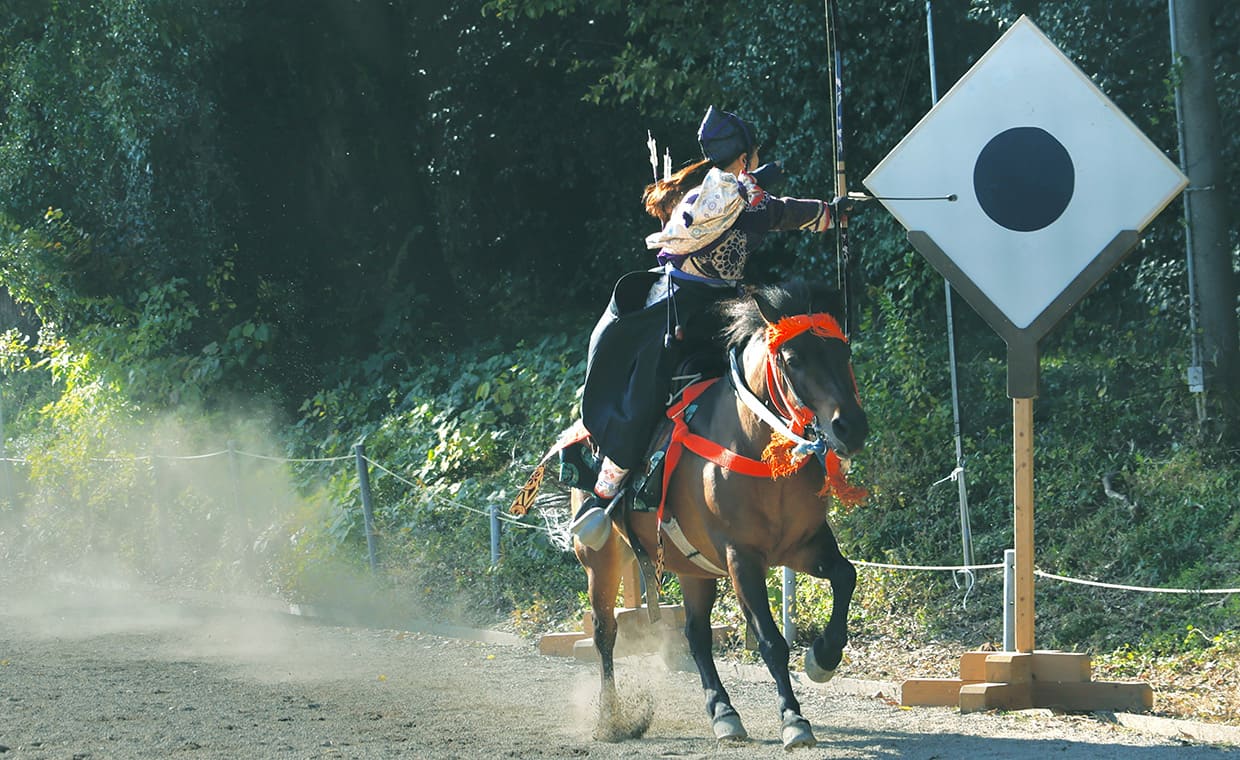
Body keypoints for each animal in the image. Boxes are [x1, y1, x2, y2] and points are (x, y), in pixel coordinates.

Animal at [575, 279, 868, 750]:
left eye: (843, 351)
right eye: (794, 359)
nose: (852, 427)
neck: (756, 447)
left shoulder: (805, 544)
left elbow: (846, 576)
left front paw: (823, 657)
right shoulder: (741, 557)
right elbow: (770, 640)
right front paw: (793, 719)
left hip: (693, 568)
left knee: (696, 636)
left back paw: (724, 712)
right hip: (601, 559)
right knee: (605, 633)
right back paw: (613, 718)